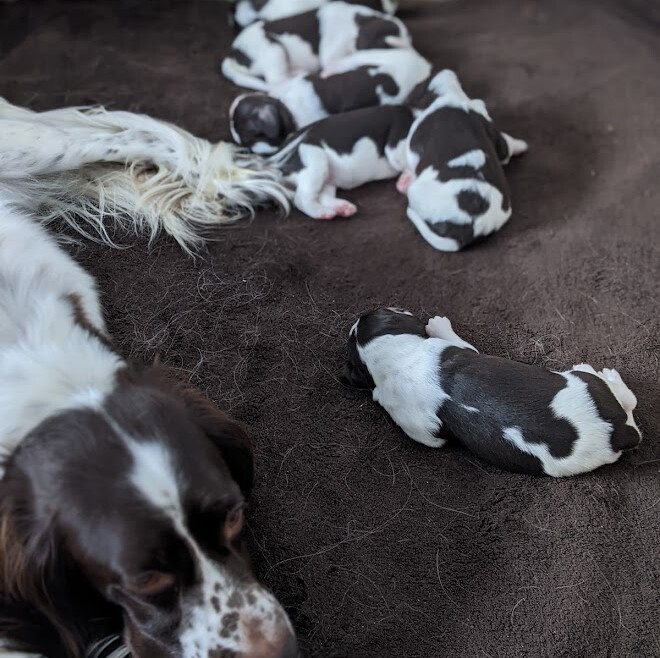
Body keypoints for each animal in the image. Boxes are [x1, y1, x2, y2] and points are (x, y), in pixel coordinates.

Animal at [268, 105, 412, 218]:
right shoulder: (396, 142)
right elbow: (403, 160)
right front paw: (405, 182)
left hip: (326, 178)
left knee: (322, 196)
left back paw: (342, 208)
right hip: (315, 161)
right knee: (302, 199)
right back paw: (323, 213)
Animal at [394, 68, 528, 249]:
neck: (452, 95)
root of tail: (474, 228)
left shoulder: (413, 144)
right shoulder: (491, 129)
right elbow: (506, 146)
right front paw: (521, 145)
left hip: (416, 192)